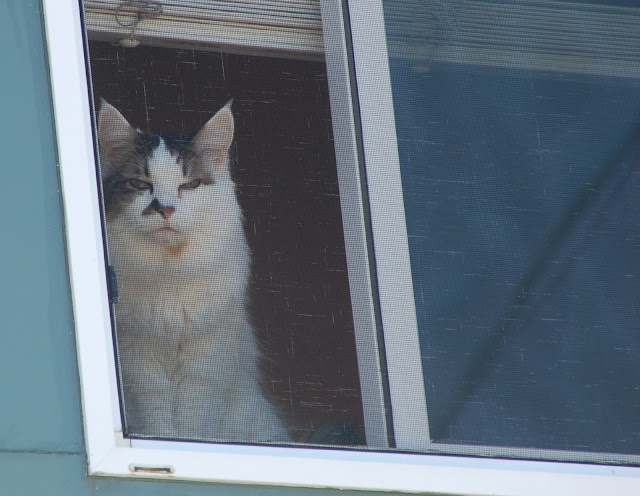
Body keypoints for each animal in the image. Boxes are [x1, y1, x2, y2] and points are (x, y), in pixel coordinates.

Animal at [97, 100, 290, 443]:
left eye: (189, 185)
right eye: (139, 185)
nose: (165, 209)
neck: (170, 272)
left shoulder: (206, 359)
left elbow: (192, 424)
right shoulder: (140, 364)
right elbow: (159, 423)